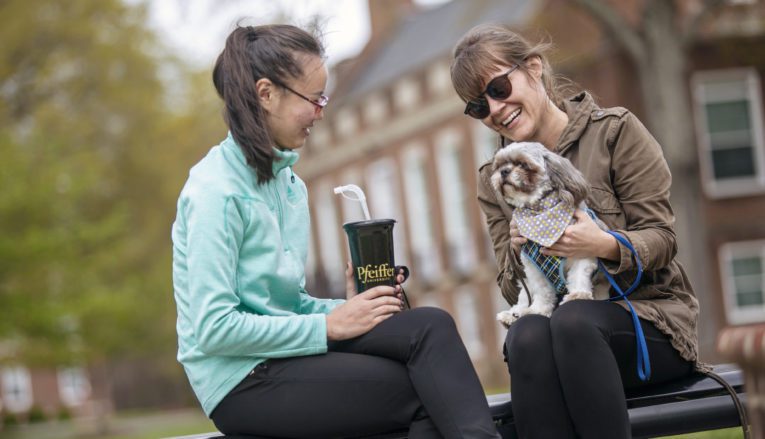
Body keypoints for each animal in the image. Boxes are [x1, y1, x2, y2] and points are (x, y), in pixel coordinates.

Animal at [492, 142, 604, 326]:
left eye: (523, 164)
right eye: (500, 165)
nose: (504, 171)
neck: (540, 211)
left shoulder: (583, 251)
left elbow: (579, 275)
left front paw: (578, 295)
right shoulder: (533, 268)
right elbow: (542, 290)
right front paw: (538, 310)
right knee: (524, 297)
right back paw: (514, 314)